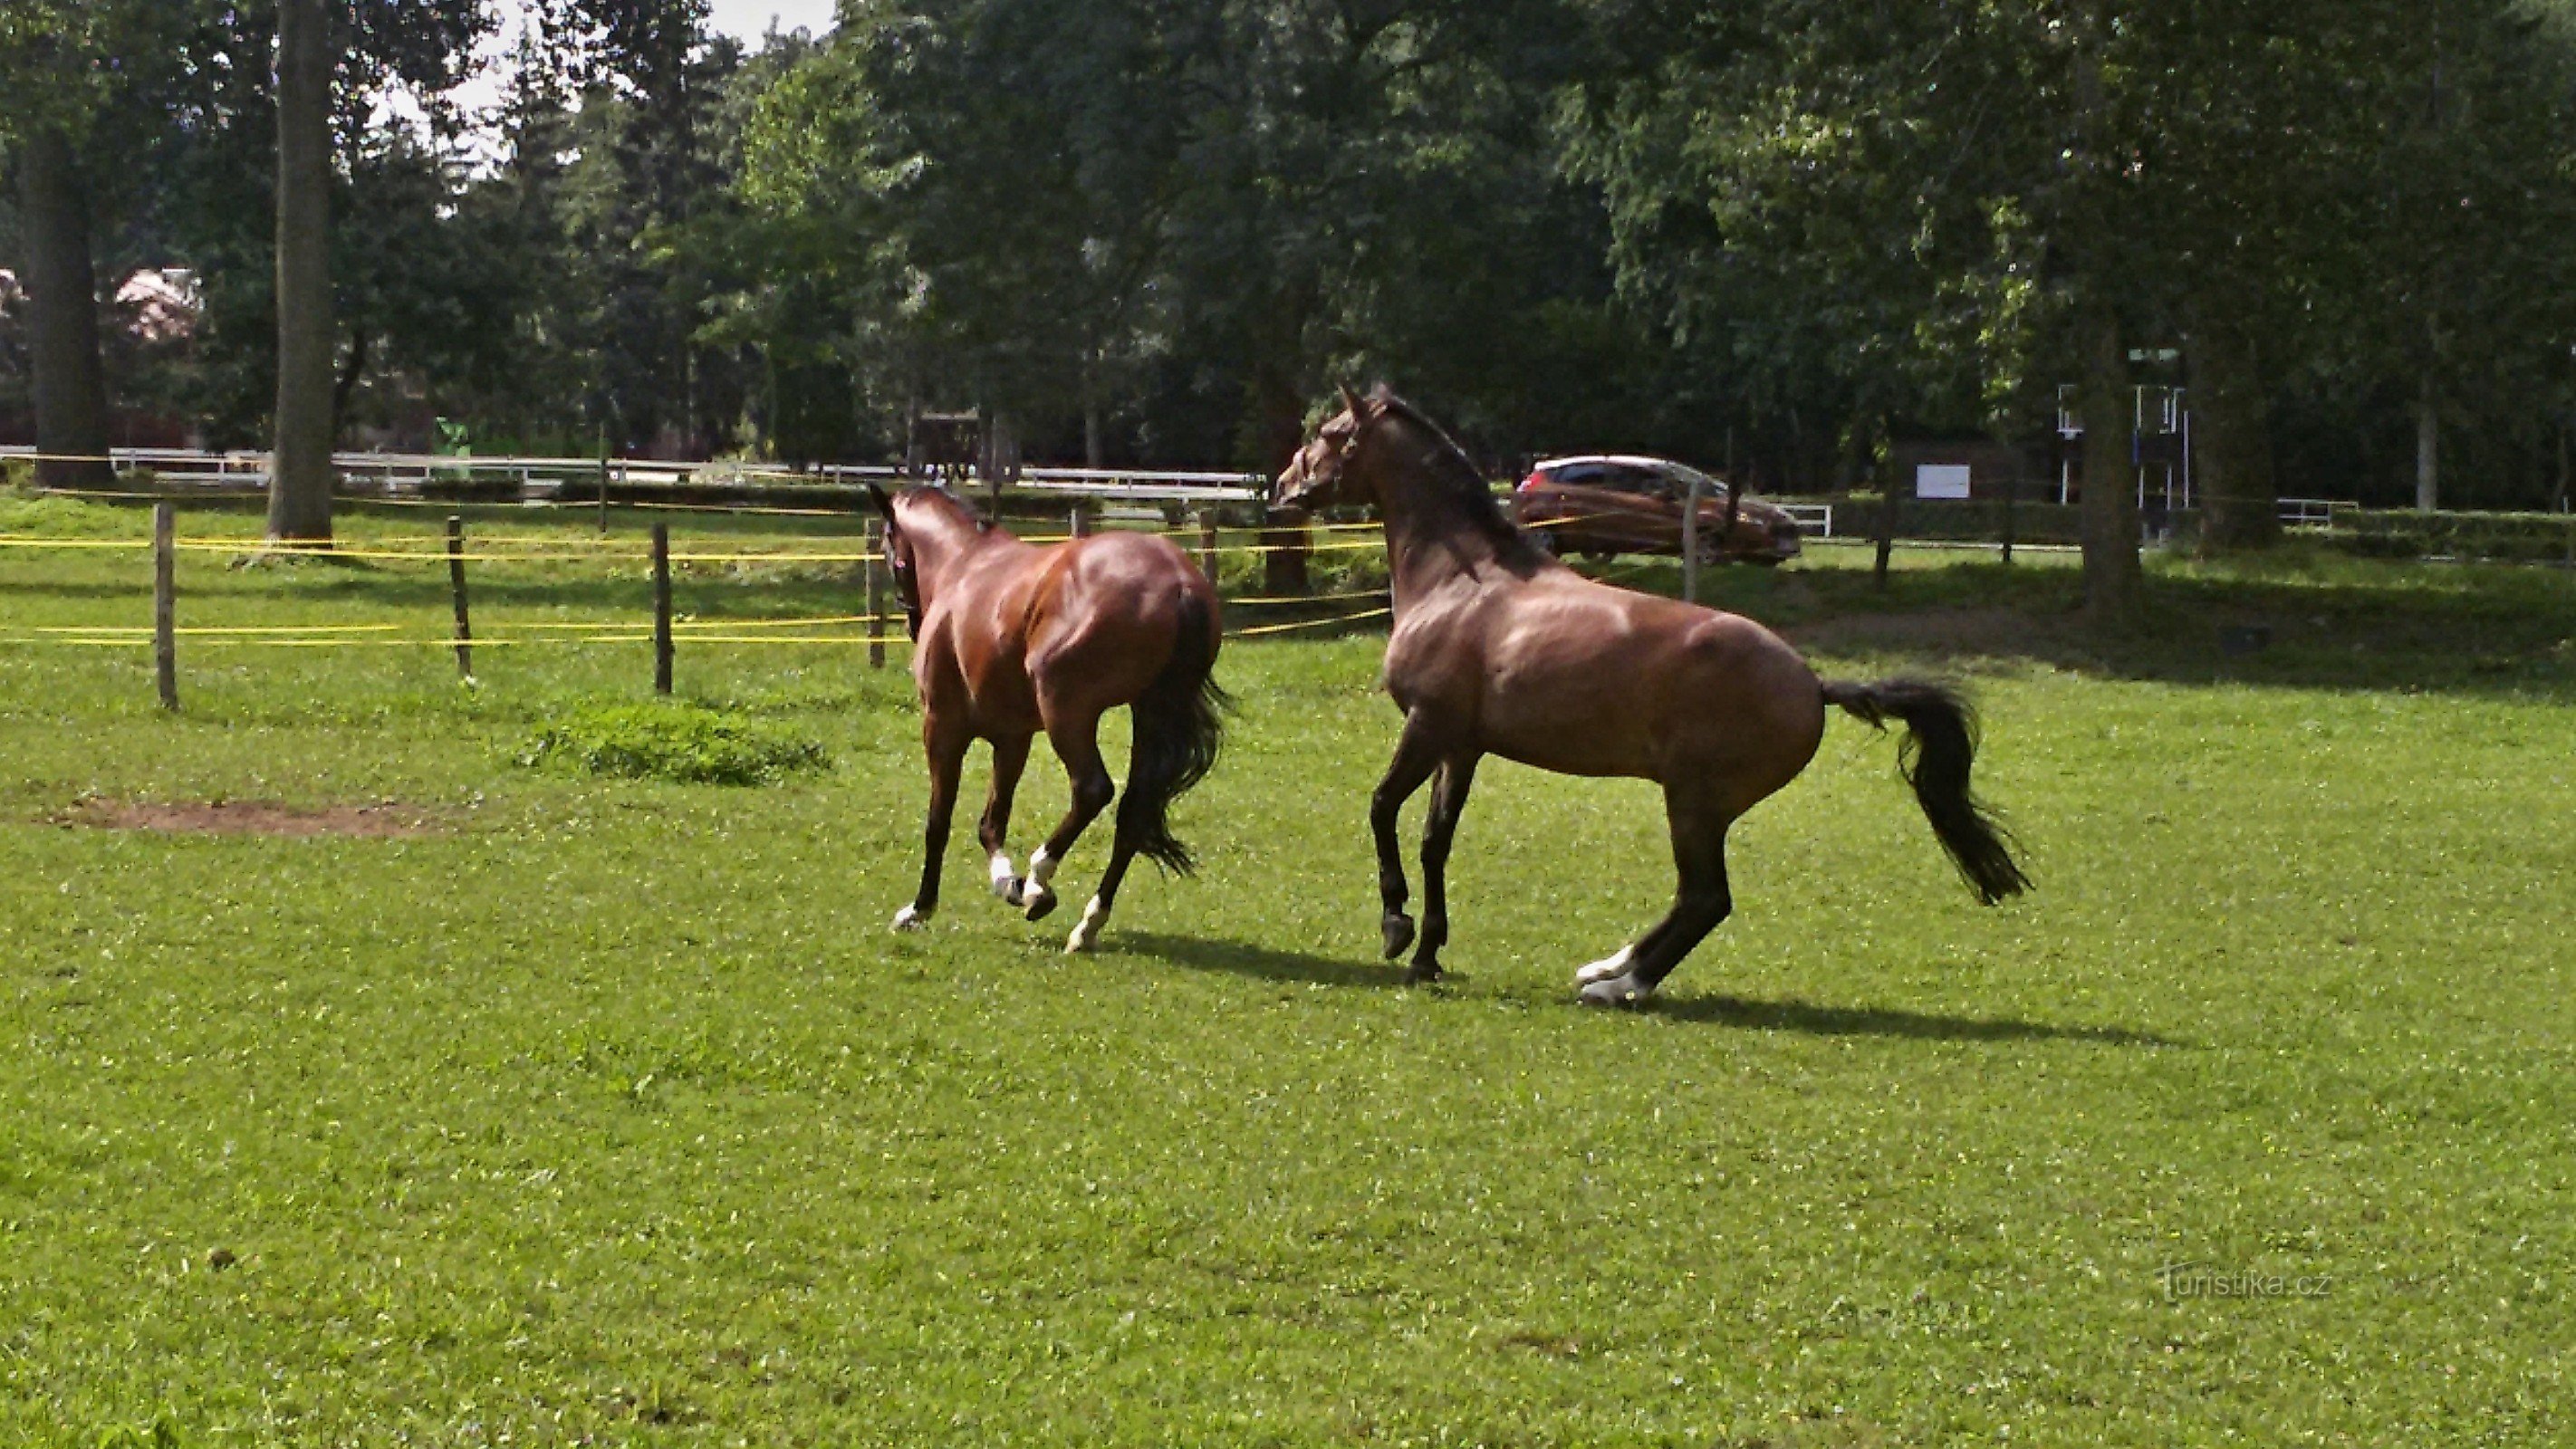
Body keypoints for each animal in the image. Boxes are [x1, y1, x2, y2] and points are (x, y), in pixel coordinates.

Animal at [865, 484, 1226, 952]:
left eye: (889, 544)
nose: (911, 619)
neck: (964, 564)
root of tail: (1179, 585)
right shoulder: (1012, 737)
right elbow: (991, 822)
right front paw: (1008, 884)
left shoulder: (942, 728)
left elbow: (938, 822)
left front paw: (920, 908)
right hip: (1148, 714)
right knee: (1133, 813)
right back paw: (1086, 925)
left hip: (1068, 714)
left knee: (1092, 790)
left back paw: (1040, 878)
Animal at [1272, 389, 2030, 1009]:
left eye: (1332, 433)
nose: (1282, 485)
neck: (1464, 580)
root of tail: (1812, 683)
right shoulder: (1463, 747)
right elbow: (1436, 842)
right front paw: (1428, 953)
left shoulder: (1428, 728)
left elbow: (1380, 808)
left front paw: (1396, 928)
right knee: (1696, 901)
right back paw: (1609, 966)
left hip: (1693, 801)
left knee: (1705, 898)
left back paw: (1620, 984)